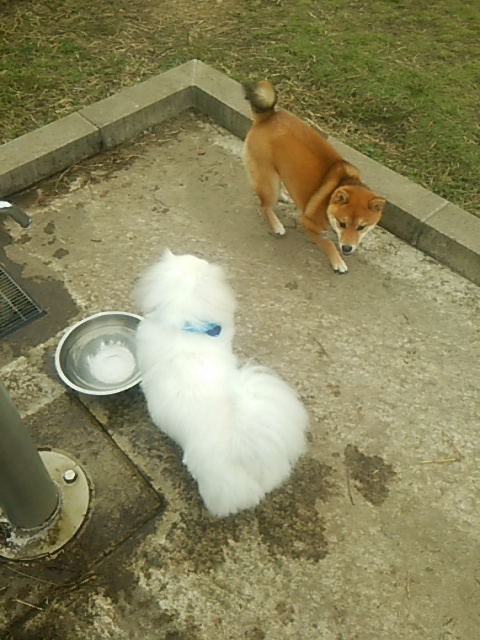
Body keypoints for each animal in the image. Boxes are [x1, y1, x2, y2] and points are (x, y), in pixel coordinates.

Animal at [244, 80, 386, 272]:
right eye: (342, 224)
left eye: (361, 227)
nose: (347, 249)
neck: (330, 196)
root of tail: (267, 117)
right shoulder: (308, 223)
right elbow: (328, 244)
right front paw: (337, 261)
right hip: (268, 181)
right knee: (265, 205)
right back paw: (277, 225)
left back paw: (283, 196)